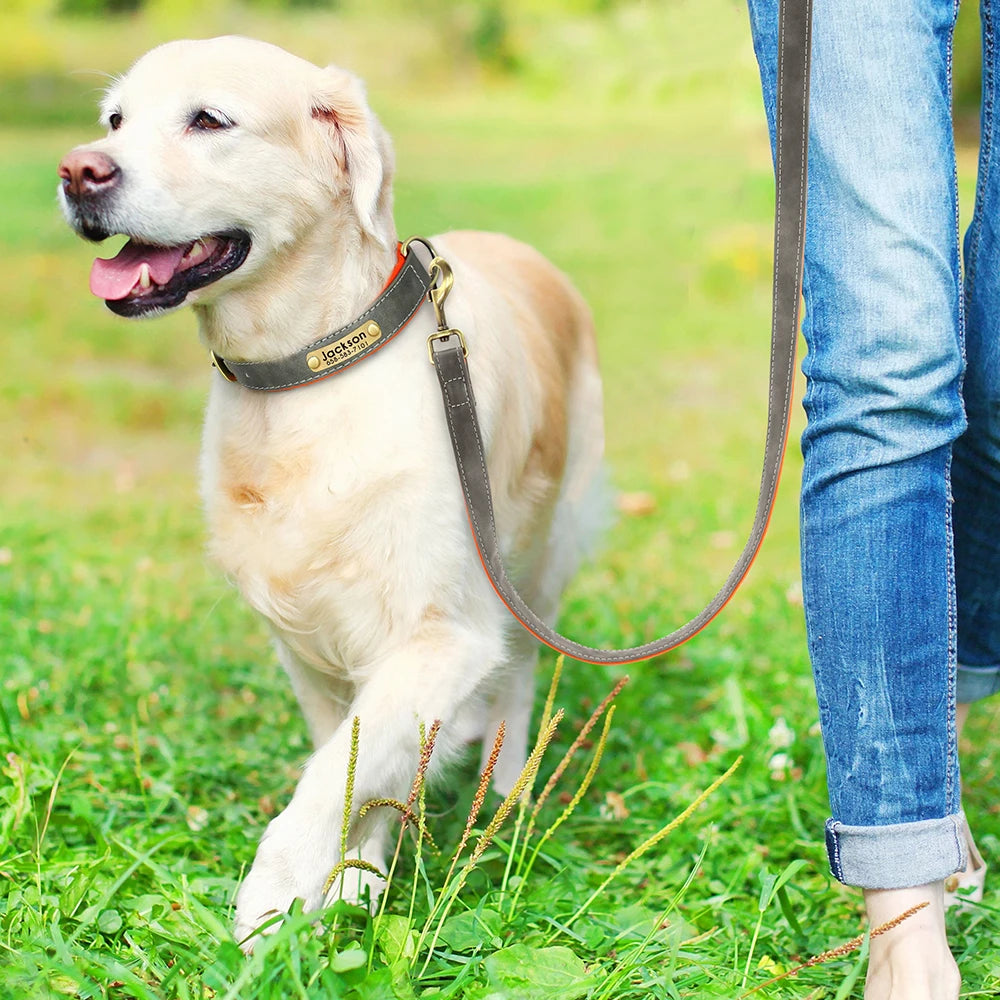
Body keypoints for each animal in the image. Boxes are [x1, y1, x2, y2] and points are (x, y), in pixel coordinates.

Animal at [58, 37, 604, 944]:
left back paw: (508, 790)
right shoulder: (307, 639)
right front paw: (356, 873)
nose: (78, 171)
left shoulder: (444, 631)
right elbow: (353, 762)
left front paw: (271, 905)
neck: (305, 375)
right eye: (115, 120)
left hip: (537, 559)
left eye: (209, 120)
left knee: (524, 674)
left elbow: (329, 779)